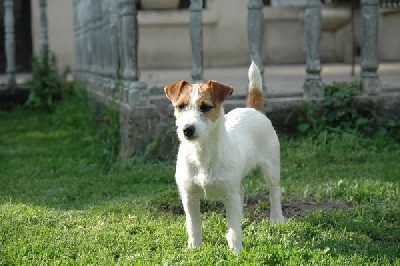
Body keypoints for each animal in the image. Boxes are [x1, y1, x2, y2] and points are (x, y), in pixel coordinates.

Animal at [163, 61, 284, 254]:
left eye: (205, 107)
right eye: (180, 106)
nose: (187, 129)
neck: (202, 154)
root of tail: (253, 109)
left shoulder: (230, 196)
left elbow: (234, 229)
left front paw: (236, 252)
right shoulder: (189, 196)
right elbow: (193, 226)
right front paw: (194, 248)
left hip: (271, 168)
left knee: (274, 193)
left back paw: (277, 219)